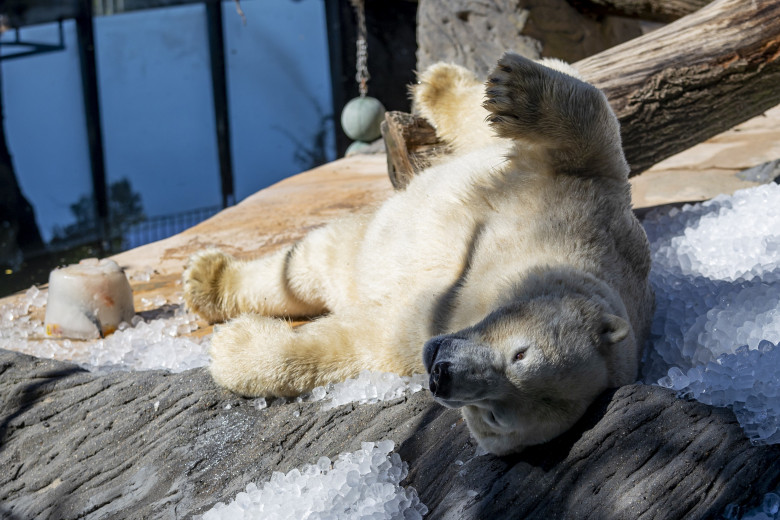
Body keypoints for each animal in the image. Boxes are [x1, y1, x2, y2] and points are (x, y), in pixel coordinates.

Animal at [183, 52, 652, 456]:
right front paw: (510, 90)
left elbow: (358, 341)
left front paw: (232, 349)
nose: (442, 377)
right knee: (317, 258)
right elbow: (591, 126)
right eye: (520, 353)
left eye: (496, 415)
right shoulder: (587, 214)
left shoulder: (429, 327)